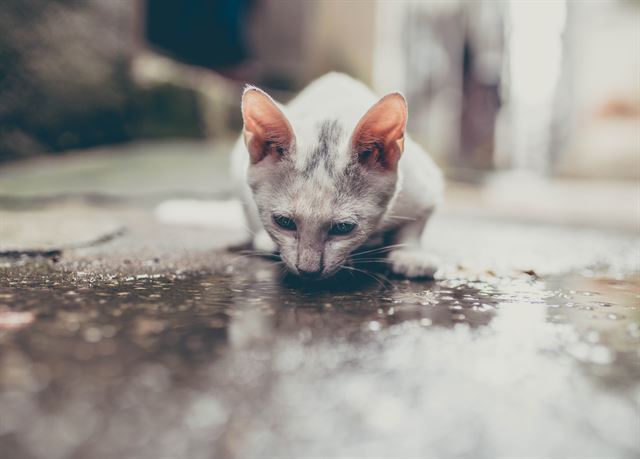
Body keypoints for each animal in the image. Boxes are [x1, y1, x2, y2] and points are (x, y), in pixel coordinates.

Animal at [231, 72, 444, 280]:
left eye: (343, 228)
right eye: (284, 222)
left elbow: (416, 221)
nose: (308, 272)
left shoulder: (423, 185)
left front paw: (411, 254)